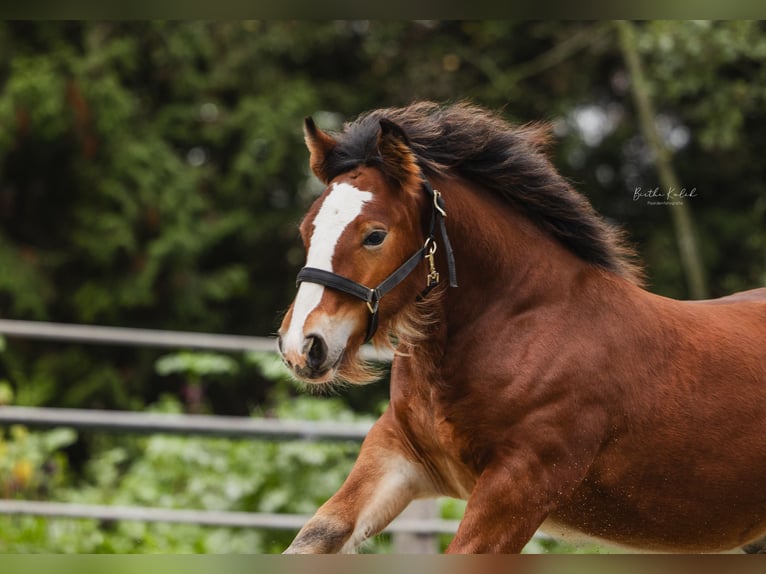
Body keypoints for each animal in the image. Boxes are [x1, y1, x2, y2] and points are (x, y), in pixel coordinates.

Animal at [276, 101, 766, 556]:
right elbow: (313, 539)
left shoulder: (522, 484)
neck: (518, 325)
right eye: (306, 230)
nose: (303, 346)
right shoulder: (398, 454)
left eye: (375, 235)